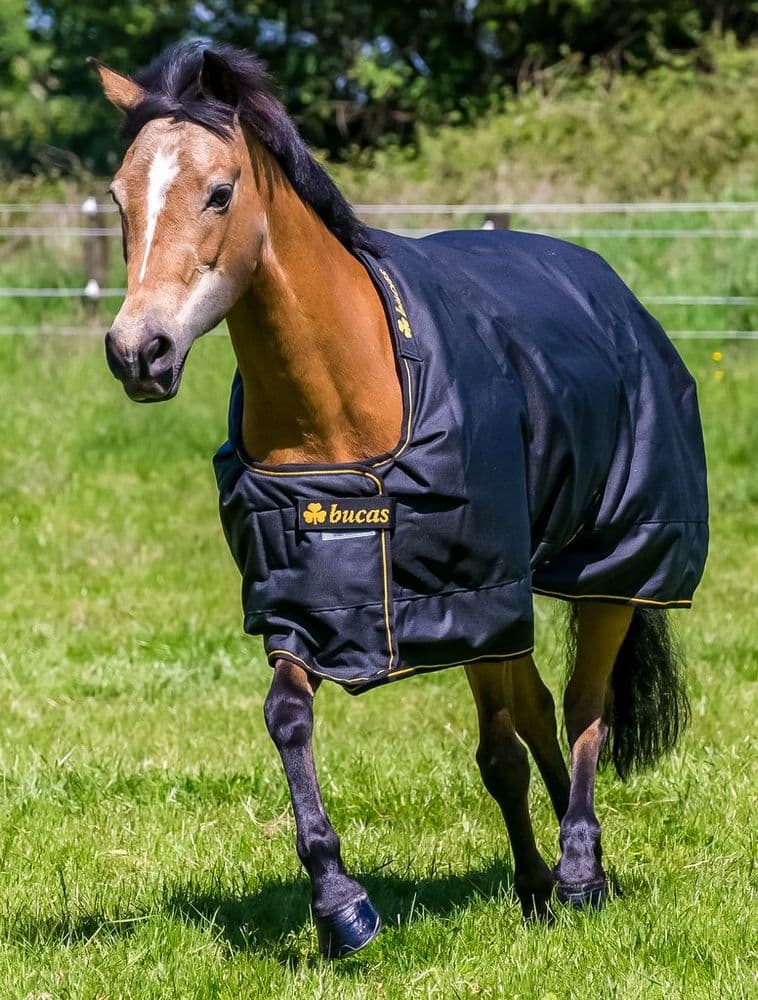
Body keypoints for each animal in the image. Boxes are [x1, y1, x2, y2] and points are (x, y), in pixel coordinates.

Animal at [93, 43, 708, 959]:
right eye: (118, 197)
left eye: (220, 191)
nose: (140, 352)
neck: (347, 400)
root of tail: (613, 289)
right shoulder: (311, 600)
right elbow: (289, 718)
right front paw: (342, 907)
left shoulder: (473, 594)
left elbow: (503, 750)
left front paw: (550, 883)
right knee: (540, 712)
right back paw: (573, 864)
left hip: (611, 569)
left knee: (582, 709)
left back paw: (582, 871)